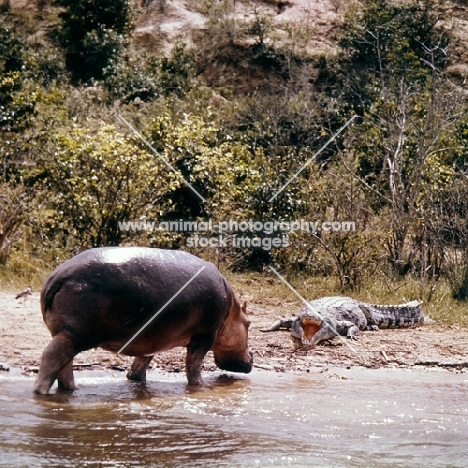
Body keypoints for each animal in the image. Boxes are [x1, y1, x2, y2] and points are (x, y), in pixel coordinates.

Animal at [33, 247, 252, 394]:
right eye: (249, 323)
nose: (252, 357)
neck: (231, 311)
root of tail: (56, 277)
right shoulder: (204, 336)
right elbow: (193, 365)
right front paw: (199, 387)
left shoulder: (152, 338)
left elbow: (141, 363)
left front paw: (136, 379)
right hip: (77, 334)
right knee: (52, 356)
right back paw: (41, 392)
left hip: (66, 333)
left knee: (65, 364)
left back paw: (70, 390)